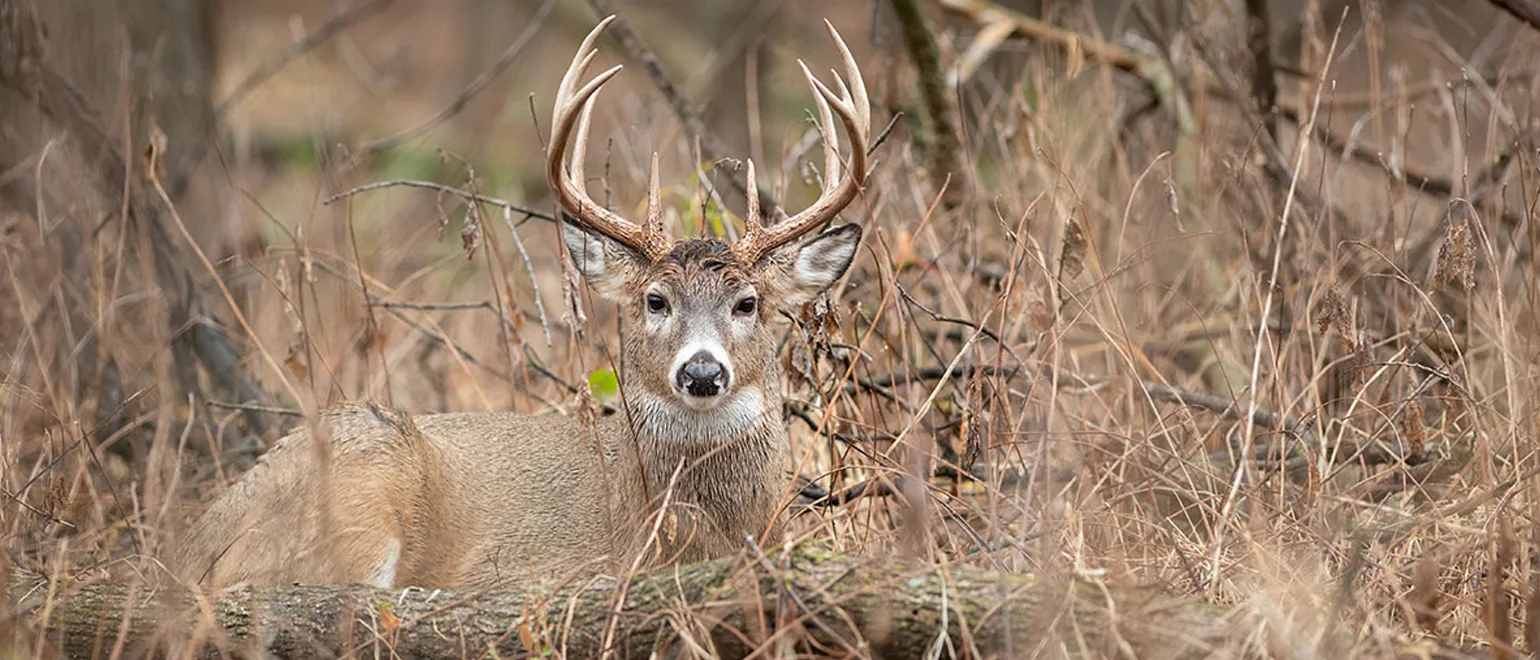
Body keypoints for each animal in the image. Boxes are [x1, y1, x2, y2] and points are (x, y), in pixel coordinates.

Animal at [170, 15, 871, 591]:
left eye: (748, 302)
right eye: (655, 300)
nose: (702, 372)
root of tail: (193, 542)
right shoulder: (525, 568)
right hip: (355, 497)